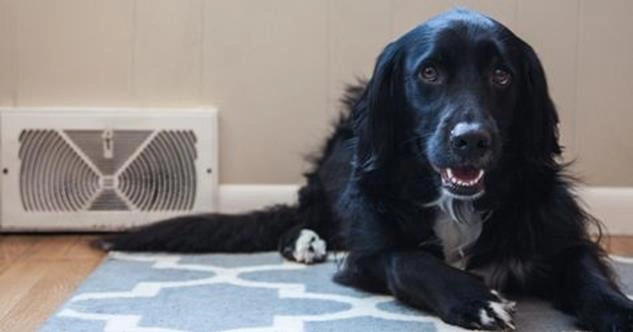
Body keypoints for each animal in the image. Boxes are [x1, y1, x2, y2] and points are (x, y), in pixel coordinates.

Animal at [103, 9, 632, 330]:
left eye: (502, 75)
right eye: (429, 73)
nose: (471, 140)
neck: (456, 204)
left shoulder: (559, 239)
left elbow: (590, 275)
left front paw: (618, 312)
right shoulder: (369, 250)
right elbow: (409, 261)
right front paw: (472, 298)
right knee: (305, 214)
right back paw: (304, 240)